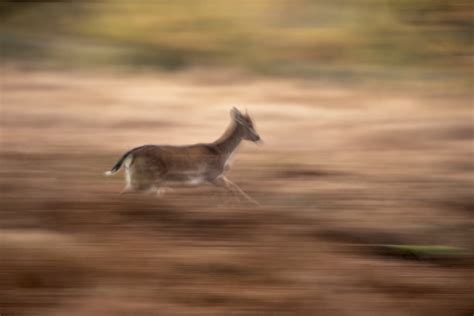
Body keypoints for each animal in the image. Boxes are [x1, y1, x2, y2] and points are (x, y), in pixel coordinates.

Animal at [104, 107, 262, 204]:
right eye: (248, 125)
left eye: (252, 122)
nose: (258, 137)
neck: (221, 153)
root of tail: (130, 154)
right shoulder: (210, 175)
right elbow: (231, 188)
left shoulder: (218, 176)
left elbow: (234, 187)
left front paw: (252, 203)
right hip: (144, 179)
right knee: (124, 193)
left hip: (138, 179)